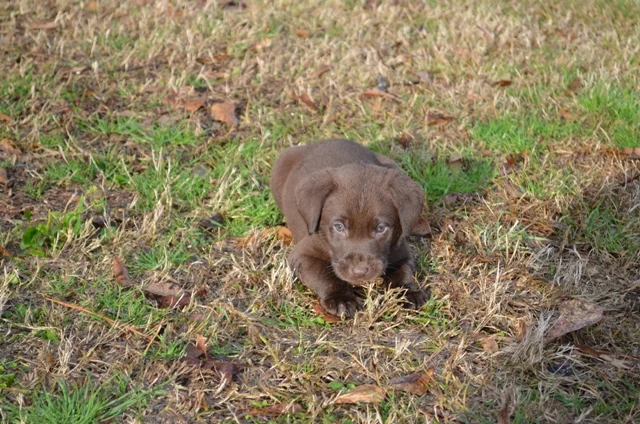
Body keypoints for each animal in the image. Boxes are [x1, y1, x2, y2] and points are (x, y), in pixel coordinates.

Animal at [270, 140, 430, 318]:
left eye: (381, 228)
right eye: (339, 227)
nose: (359, 271)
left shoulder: (401, 251)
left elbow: (402, 272)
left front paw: (409, 293)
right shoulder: (302, 255)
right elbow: (324, 275)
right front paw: (341, 299)